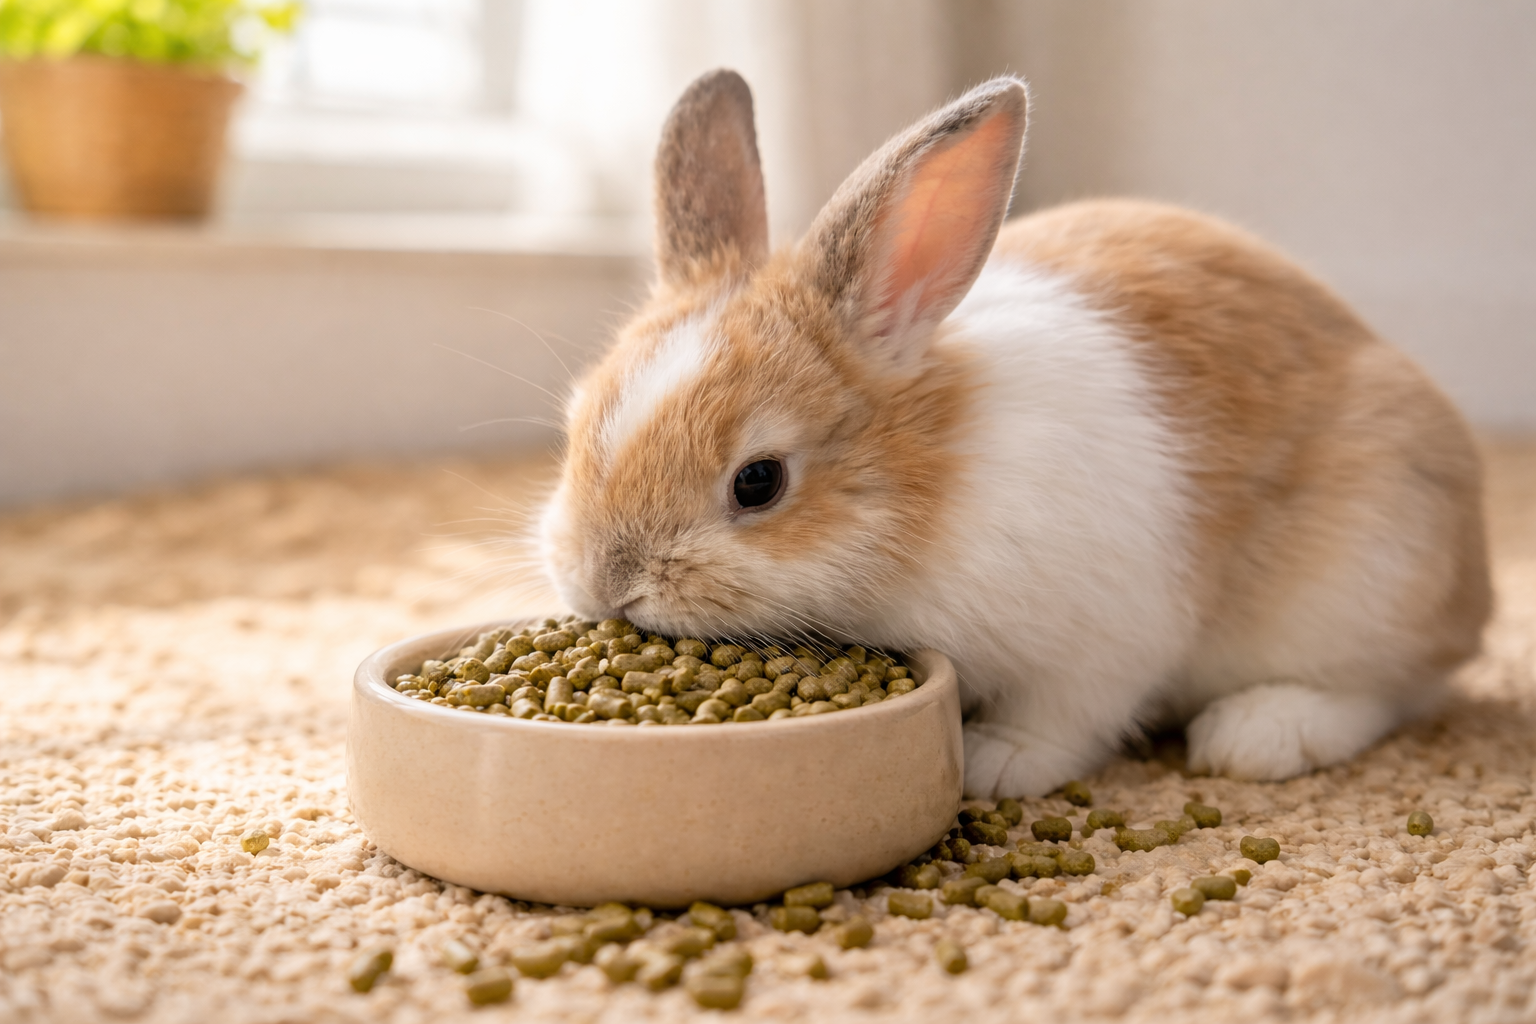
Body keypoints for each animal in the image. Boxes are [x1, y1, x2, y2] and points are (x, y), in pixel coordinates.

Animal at [538, 69, 1491, 798]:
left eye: (759, 481)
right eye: (574, 422)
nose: (607, 585)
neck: (927, 484)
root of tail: (1476, 586)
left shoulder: (1106, 636)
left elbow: (1065, 717)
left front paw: (996, 765)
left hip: (1367, 568)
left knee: (1389, 689)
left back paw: (1257, 735)